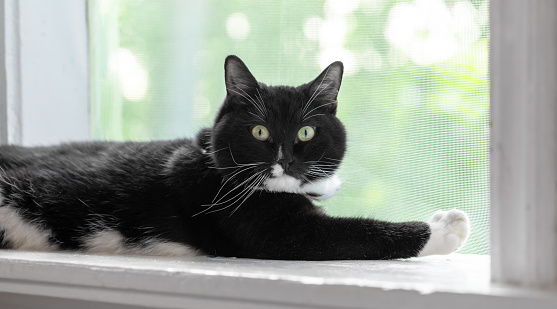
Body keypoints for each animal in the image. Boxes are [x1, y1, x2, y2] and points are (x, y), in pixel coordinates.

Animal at [0, 56, 470, 258]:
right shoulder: (261, 227)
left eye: (306, 131)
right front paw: (444, 228)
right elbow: (354, 233)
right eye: (260, 131)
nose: (285, 159)